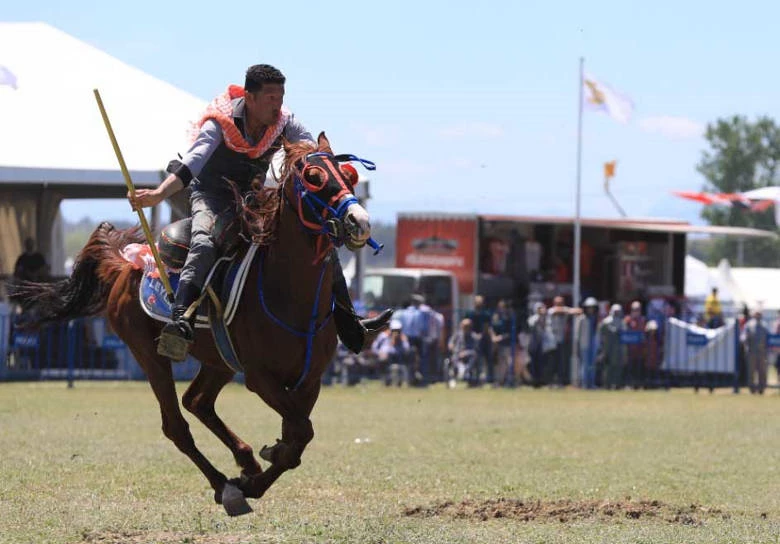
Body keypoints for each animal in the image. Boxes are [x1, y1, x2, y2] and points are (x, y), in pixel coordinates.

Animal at [20, 134, 378, 516]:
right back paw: (225, 485)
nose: (359, 221)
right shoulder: (260, 379)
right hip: (149, 355)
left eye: (348, 174)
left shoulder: (309, 381)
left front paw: (262, 465)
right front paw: (251, 481)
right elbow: (299, 433)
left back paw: (245, 461)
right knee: (176, 425)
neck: (290, 294)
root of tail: (126, 264)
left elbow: (297, 437)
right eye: (313, 177)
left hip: (218, 361)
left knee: (198, 401)